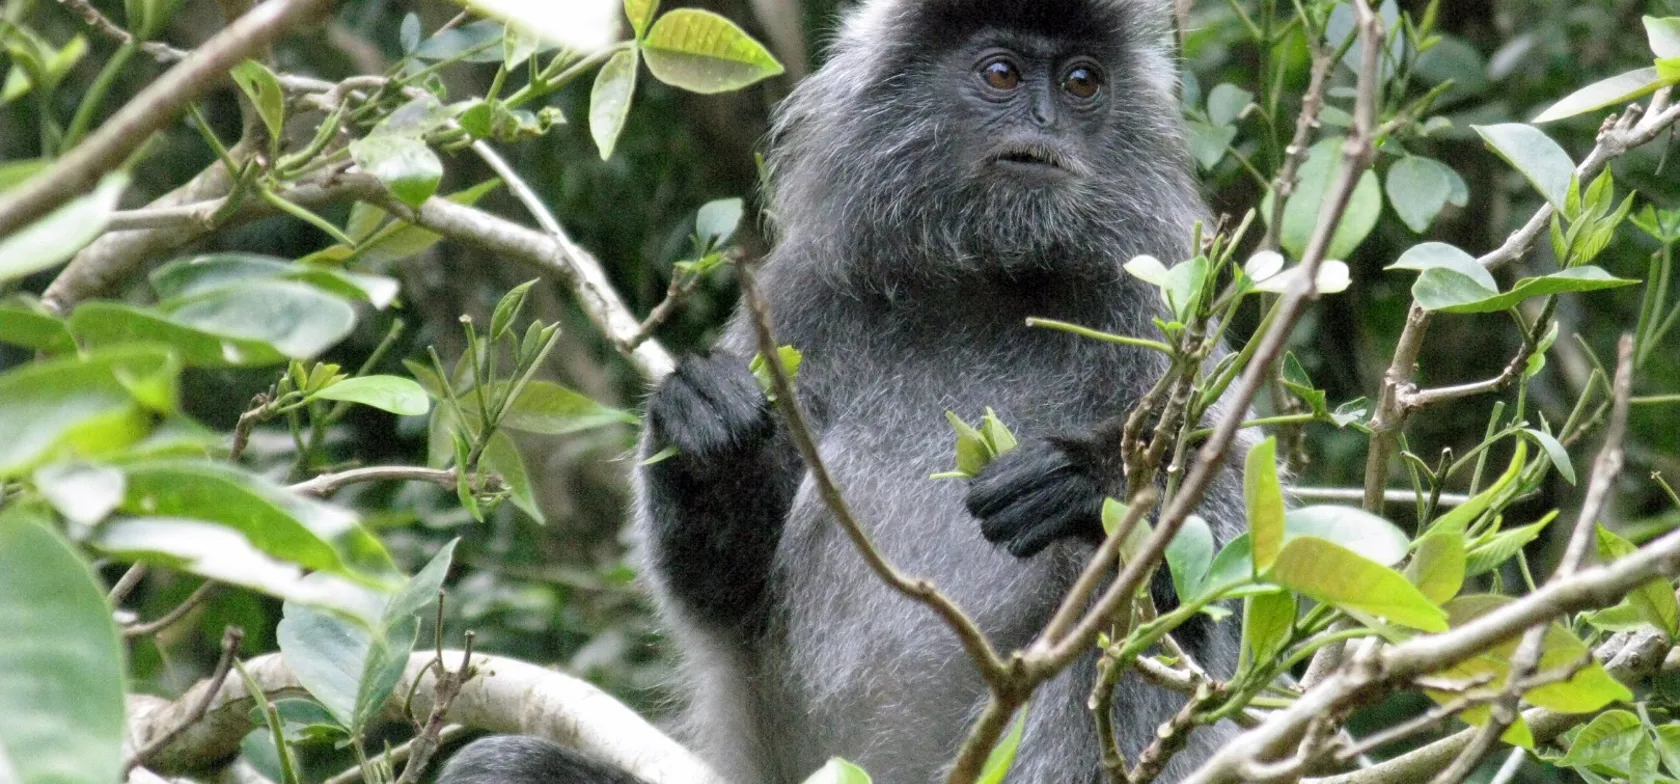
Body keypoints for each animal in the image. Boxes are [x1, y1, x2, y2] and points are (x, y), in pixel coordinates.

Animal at [440, 0, 1256, 782]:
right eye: (1002, 74)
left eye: (1083, 82)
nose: (1049, 122)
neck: (991, 281)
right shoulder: (797, 300)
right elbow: (721, 593)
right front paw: (703, 424)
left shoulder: (1154, 297)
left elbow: (1224, 570)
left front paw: (1081, 480)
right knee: (495, 767)